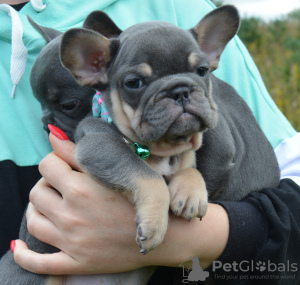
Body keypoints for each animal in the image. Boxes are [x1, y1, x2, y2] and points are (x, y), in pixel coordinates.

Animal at [0, 5, 280, 284]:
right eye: (134, 83)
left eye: (202, 71)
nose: (180, 90)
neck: (160, 149)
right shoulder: (101, 146)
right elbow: (148, 177)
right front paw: (155, 223)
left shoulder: (192, 154)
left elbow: (191, 170)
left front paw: (190, 193)